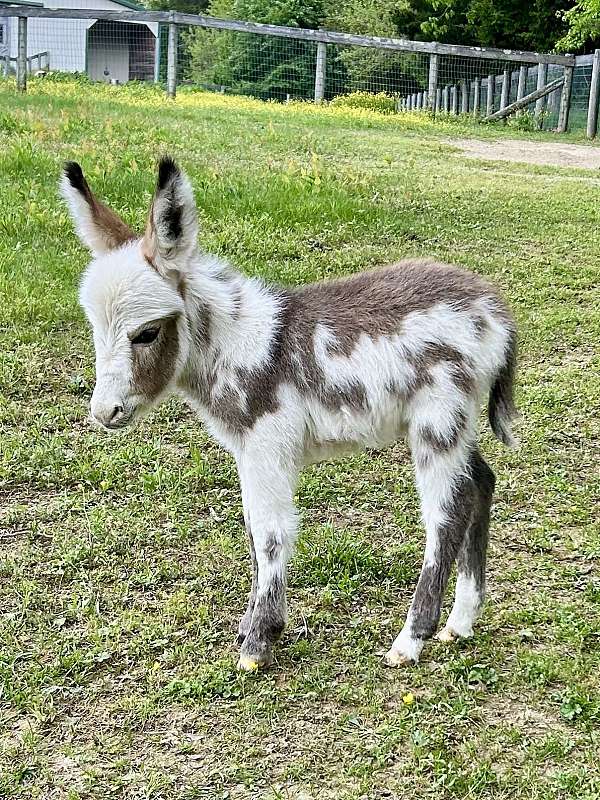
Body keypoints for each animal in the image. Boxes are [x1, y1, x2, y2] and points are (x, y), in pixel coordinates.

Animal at [63, 155, 516, 668]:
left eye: (146, 333)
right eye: (95, 327)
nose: (105, 412)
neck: (238, 345)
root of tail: (494, 308)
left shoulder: (268, 445)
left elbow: (269, 534)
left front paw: (259, 643)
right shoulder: (247, 452)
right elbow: (252, 533)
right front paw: (252, 627)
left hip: (438, 421)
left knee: (447, 514)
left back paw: (411, 640)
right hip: (456, 424)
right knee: (480, 483)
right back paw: (461, 623)